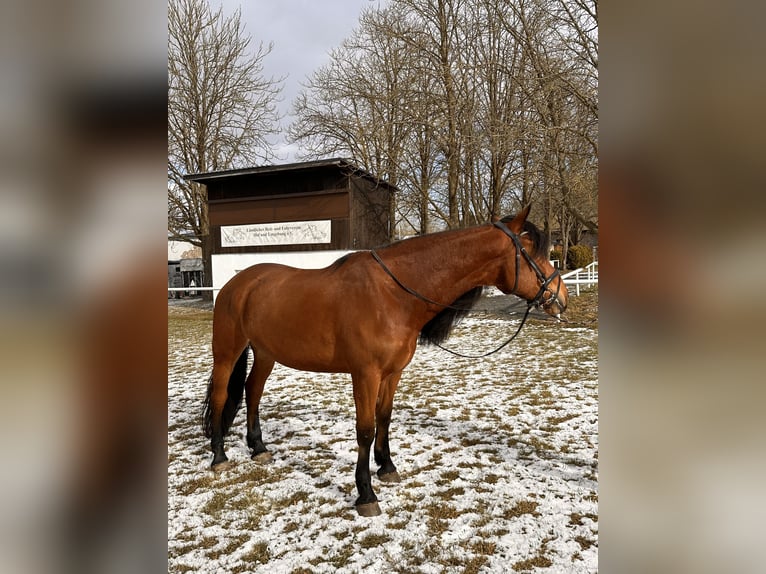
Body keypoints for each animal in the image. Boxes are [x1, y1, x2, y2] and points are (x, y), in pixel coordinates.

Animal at [201, 207, 568, 516]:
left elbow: (384, 419)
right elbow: (365, 429)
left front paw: (387, 467)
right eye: (533, 252)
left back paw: (258, 447)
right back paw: (219, 456)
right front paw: (366, 494)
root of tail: (237, 283)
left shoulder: (392, 373)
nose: (560, 298)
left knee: (252, 391)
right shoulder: (365, 374)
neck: (393, 295)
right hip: (227, 351)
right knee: (221, 395)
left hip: (265, 353)